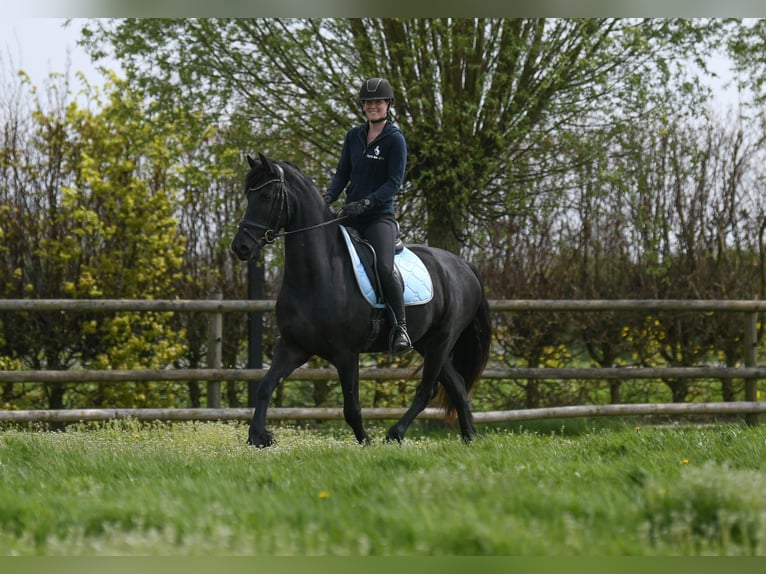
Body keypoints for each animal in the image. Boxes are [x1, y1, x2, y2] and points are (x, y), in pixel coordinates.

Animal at [230, 153, 491, 447]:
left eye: (266, 195)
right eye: (249, 195)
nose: (241, 247)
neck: (316, 275)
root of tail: (463, 265)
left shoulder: (346, 353)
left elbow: (351, 406)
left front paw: (365, 441)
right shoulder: (293, 346)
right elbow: (265, 386)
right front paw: (259, 436)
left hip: (442, 340)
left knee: (427, 389)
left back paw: (395, 433)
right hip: (429, 343)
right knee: (455, 385)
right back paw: (469, 437)